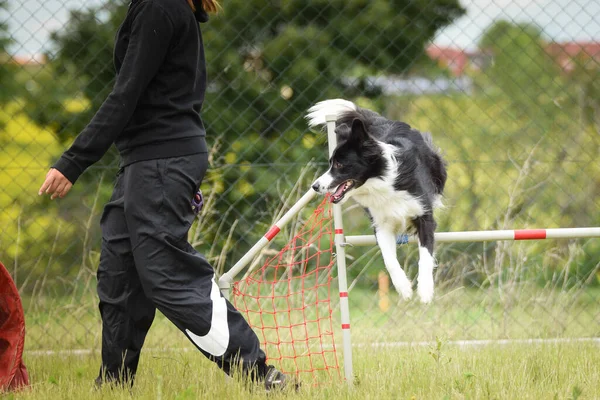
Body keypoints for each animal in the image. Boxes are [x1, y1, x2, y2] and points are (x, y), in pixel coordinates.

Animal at [310, 99, 446, 304]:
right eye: (330, 163)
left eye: (339, 164)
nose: (315, 186)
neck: (381, 182)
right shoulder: (381, 224)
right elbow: (389, 260)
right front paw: (404, 289)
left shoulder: (423, 215)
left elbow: (425, 255)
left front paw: (425, 290)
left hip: (437, 168)